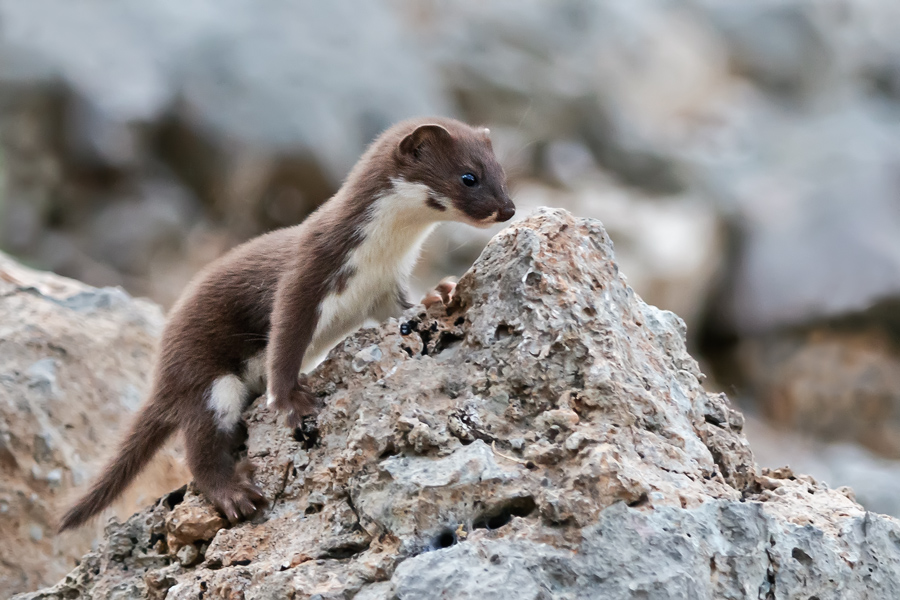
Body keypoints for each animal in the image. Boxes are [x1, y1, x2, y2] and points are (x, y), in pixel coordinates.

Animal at [58, 117, 512, 528]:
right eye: (469, 177)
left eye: (503, 173)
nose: (507, 209)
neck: (378, 258)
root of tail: (163, 377)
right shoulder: (306, 274)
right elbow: (285, 339)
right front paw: (292, 401)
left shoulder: (384, 289)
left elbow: (403, 310)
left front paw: (440, 293)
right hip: (207, 377)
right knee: (200, 446)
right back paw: (235, 493)